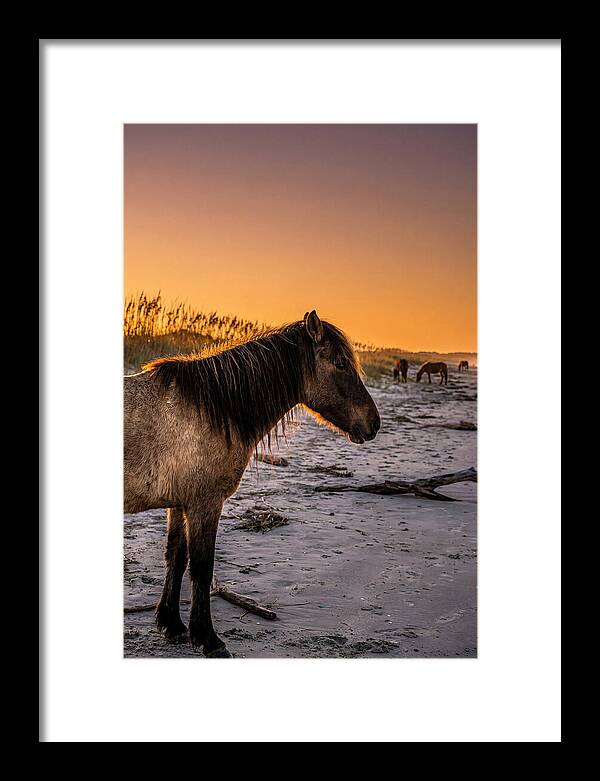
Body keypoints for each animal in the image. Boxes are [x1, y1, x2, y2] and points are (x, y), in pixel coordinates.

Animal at [124, 310, 381, 657]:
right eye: (341, 364)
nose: (374, 423)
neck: (212, 409)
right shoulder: (205, 504)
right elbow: (202, 567)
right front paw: (208, 638)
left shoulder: (179, 504)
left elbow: (176, 557)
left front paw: (172, 624)